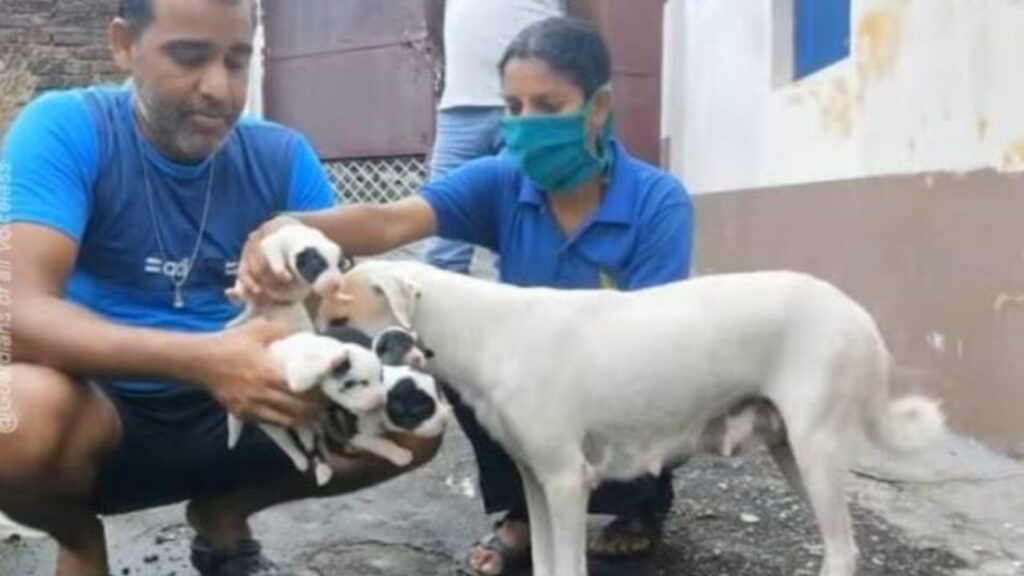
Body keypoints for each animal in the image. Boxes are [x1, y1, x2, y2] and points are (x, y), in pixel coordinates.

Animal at [317, 259, 942, 573]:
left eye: (339, 320)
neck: (484, 331)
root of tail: (857, 314)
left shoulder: (567, 483)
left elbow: (568, 567)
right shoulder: (537, 481)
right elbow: (545, 563)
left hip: (816, 451)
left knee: (843, 548)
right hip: (791, 450)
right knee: (840, 546)